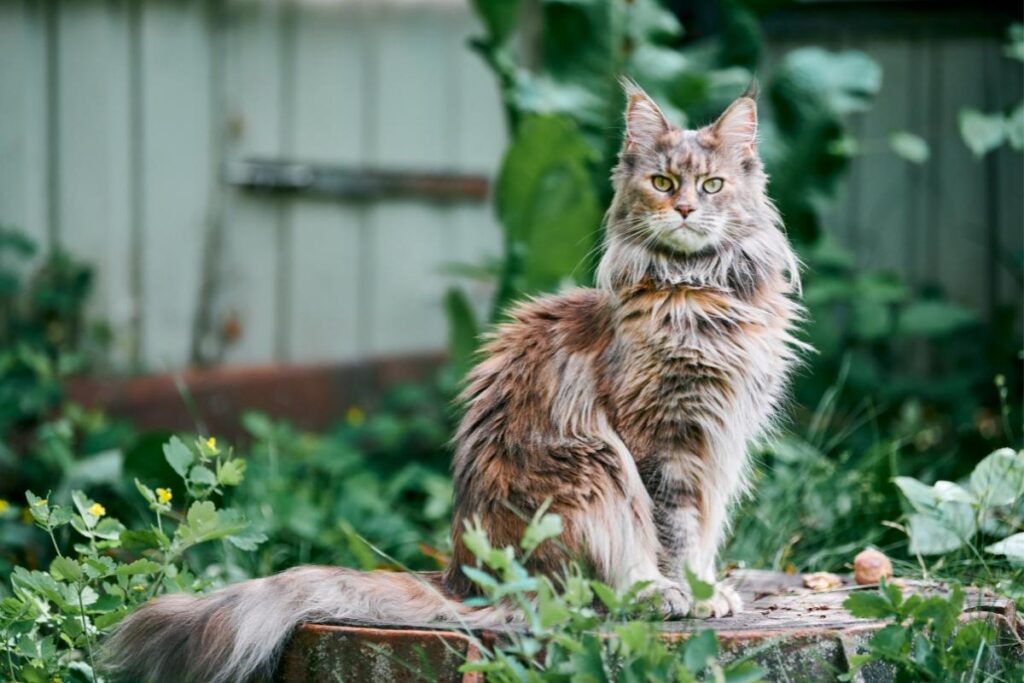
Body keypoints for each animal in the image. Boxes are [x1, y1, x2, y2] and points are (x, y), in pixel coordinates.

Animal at [105, 81, 806, 683]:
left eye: (712, 186)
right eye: (661, 183)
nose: (685, 208)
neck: (700, 294)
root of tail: (463, 579)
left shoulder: (718, 444)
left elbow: (702, 535)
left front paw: (712, 588)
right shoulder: (662, 445)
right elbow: (673, 535)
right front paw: (691, 595)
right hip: (596, 468)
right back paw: (651, 596)